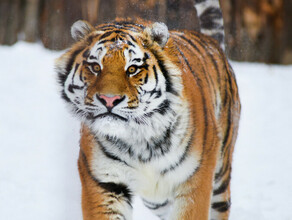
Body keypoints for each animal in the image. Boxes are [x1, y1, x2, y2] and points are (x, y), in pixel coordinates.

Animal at [54, 0, 240, 218]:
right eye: (95, 67)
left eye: (132, 69)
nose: (109, 99)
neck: (140, 138)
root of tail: (211, 42)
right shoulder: (104, 181)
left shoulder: (195, 179)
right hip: (157, 200)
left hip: (220, 176)